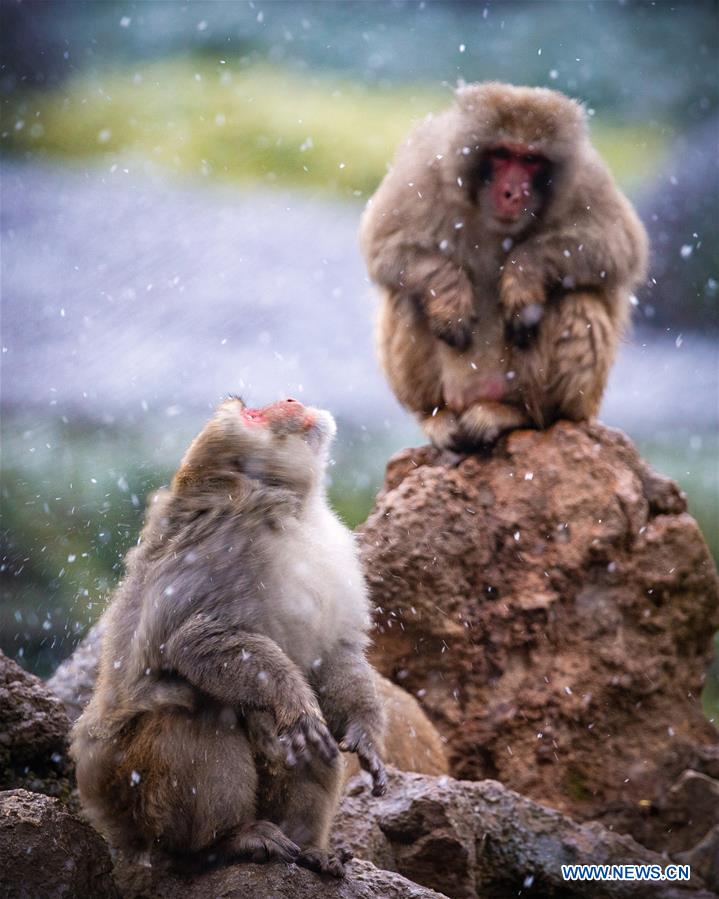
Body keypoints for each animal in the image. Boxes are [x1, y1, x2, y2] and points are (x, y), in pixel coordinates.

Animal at [70, 397, 387, 879]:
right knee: (196, 708)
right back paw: (224, 843)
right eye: (255, 415)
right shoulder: (228, 551)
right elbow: (194, 640)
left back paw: (309, 847)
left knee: (313, 749)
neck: (290, 509)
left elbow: (334, 654)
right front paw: (293, 701)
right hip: (133, 791)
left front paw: (365, 730)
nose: (290, 399)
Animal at [360, 81, 649, 450]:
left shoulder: (587, 179)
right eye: (501, 154)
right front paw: (451, 297)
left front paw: (523, 277)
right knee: (407, 295)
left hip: (566, 402)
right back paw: (434, 416)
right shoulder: (425, 166)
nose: (513, 192)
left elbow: (619, 246)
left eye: (531, 160)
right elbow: (383, 244)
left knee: (576, 298)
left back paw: (519, 415)